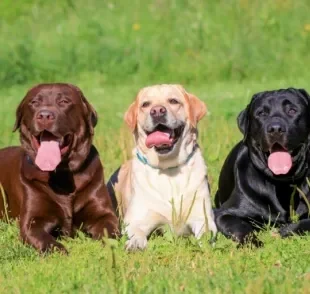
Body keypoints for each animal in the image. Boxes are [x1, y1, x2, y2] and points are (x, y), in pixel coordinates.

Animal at [0, 82, 118, 253]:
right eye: (34, 102)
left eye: (64, 102)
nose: (44, 115)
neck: (62, 174)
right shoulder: (32, 221)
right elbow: (44, 238)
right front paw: (59, 250)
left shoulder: (104, 213)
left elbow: (109, 229)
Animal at [214, 88, 310, 246]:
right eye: (261, 113)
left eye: (292, 110)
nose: (275, 129)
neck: (282, 184)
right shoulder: (223, 213)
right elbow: (240, 226)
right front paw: (253, 244)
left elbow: (305, 222)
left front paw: (286, 230)